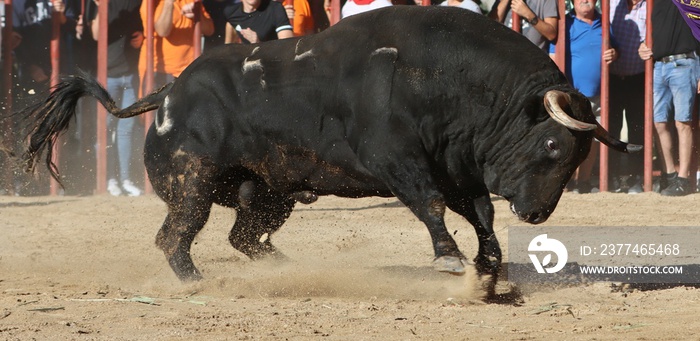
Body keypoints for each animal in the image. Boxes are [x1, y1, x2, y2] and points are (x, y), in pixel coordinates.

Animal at [19, 6, 636, 296]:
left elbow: (479, 212)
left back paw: (283, 268)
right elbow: (434, 206)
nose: (535, 214)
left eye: (578, 156)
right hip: (192, 186)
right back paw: (200, 283)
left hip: (269, 195)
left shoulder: (456, 169)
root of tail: (168, 92)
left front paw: (489, 267)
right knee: (174, 237)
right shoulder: (400, 163)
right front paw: (451, 260)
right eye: (554, 144)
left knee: (244, 237)